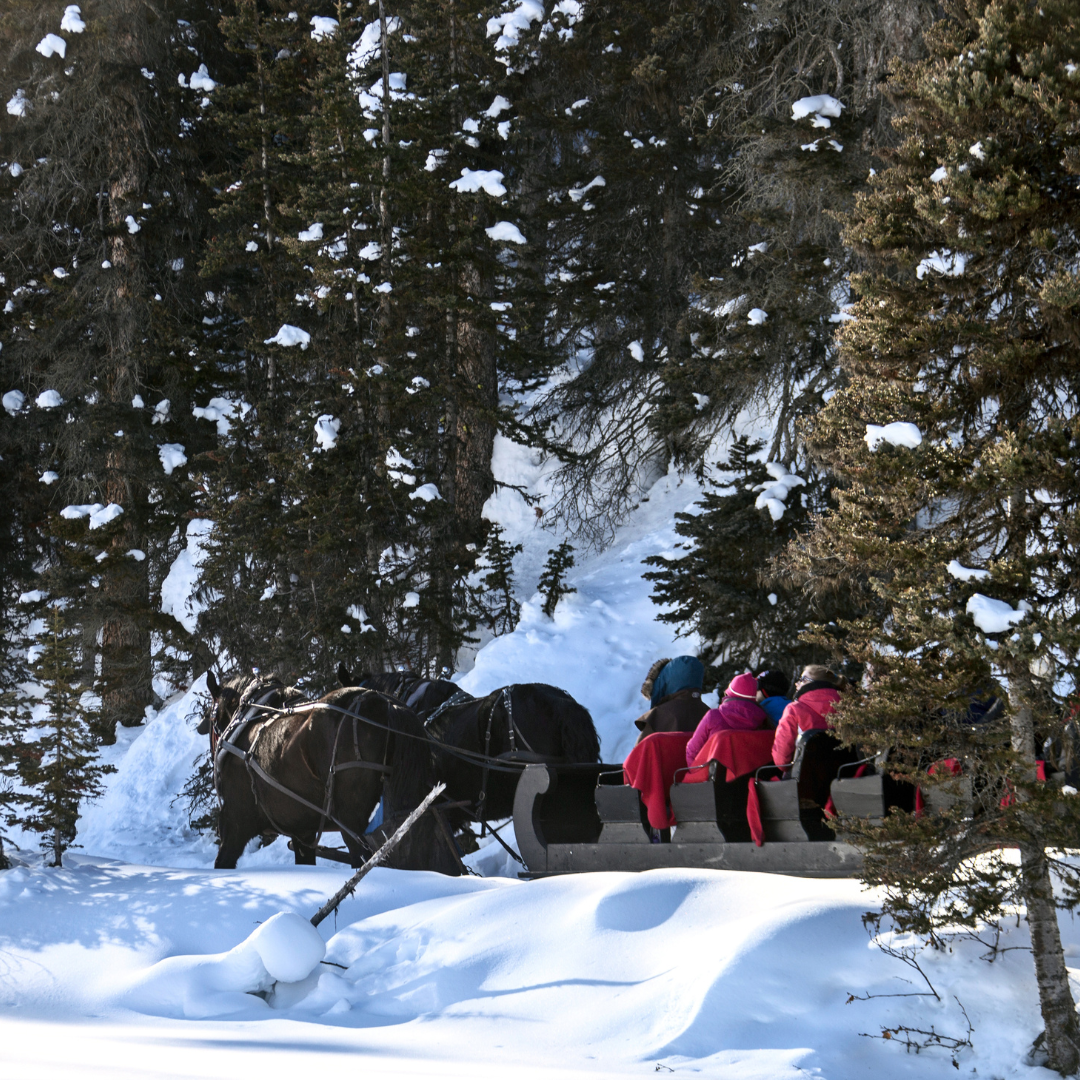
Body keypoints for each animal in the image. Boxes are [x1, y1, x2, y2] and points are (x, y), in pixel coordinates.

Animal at [200, 669, 457, 872]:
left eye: (211, 717)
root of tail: (385, 704)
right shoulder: (302, 834)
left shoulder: (234, 826)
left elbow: (223, 861)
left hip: (350, 822)